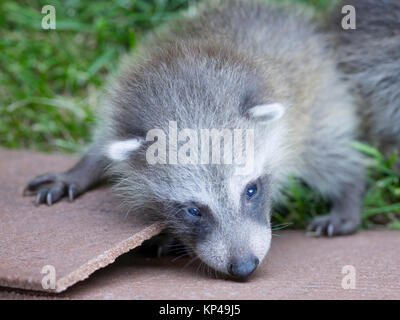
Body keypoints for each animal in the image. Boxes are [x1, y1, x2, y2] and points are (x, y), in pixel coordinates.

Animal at [23, 0, 364, 278]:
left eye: (251, 190)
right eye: (193, 211)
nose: (244, 267)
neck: (187, 89)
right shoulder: (121, 110)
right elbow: (103, 145)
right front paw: (77, 172)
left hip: (318, 96)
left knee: (326, 150)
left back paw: (349, 190)